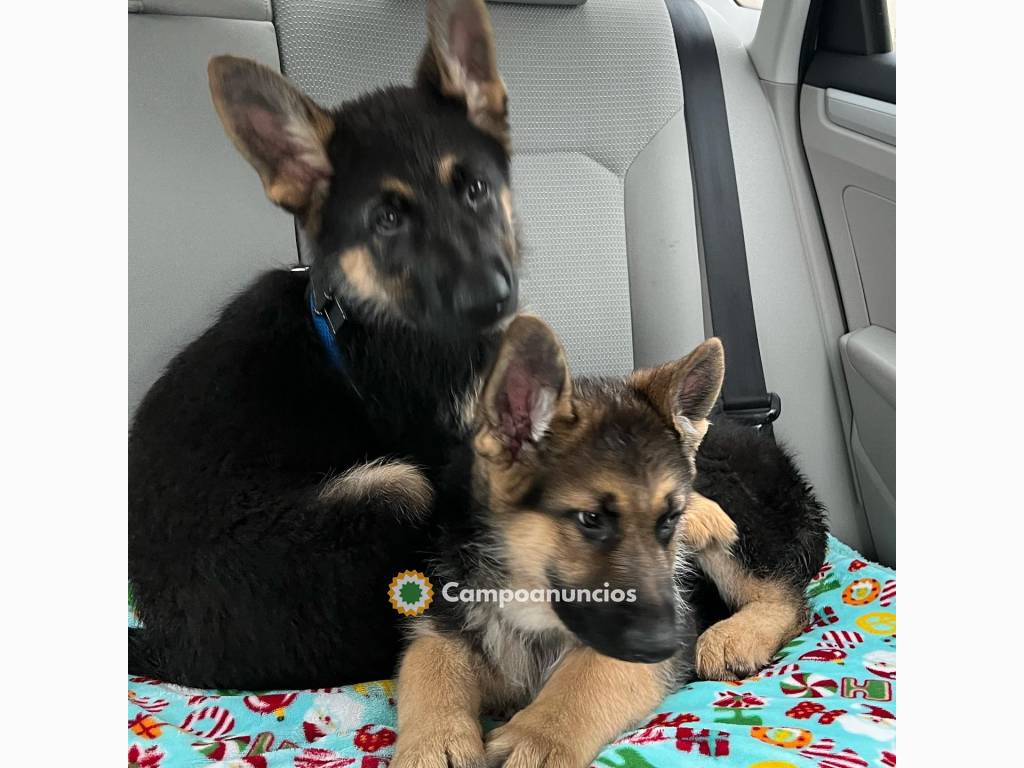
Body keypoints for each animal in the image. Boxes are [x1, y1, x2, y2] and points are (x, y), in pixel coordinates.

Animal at [130, 0, 520, 692]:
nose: (493, 299)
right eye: (386, 220)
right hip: (393, 491)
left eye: (473, 189)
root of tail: (171, 646)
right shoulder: (443, 458)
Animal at [389, 315, 823, 765]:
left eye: (670, 520)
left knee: (788, 597)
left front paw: (538, 736)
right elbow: (430, 668)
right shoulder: (445, 620)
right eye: (591, 520)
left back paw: (736, 635)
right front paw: (434, 742)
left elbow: (589, 678)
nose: (670, 640)